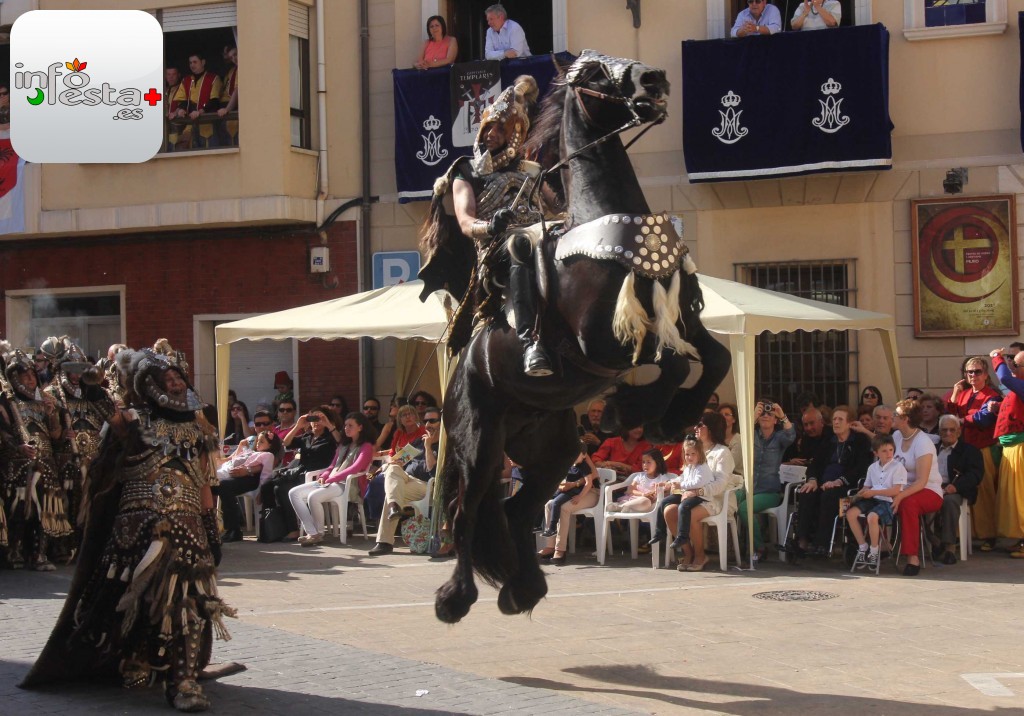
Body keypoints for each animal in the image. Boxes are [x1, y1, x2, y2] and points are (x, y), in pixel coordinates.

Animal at [423, 50, 729, 622]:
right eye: (591, 74)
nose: (655, 81)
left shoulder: (681, 318)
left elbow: (714, 358)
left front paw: (671, 416)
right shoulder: (601, 341)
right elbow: (673, 364)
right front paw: (632, 411)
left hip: (552, 449)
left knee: (517, 511)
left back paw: (522, 589)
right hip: (478, 441)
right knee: (468, 510)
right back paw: (456, 598)